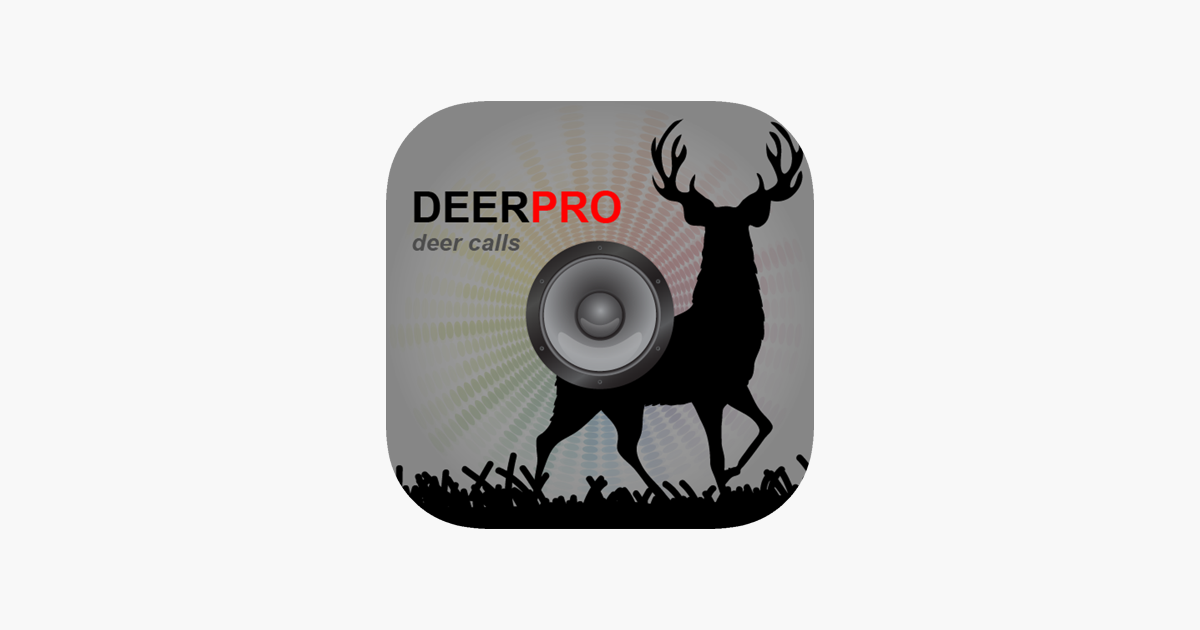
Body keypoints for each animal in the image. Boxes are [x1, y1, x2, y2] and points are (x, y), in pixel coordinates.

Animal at [532, 119, 805, 500]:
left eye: (740, 223)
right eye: (716, 224)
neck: (725, 322)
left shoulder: (736, 385)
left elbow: (765, 424)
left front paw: (735, 472)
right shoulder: (706, 391)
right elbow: (716, 456)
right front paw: (725, 484)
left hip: (618, 403)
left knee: (616, 445)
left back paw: (655, 491)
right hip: (586, 400)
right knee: (551, 438)